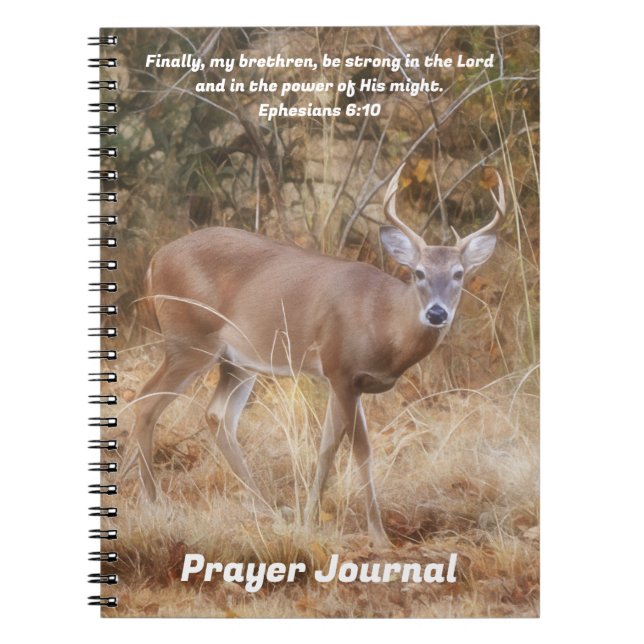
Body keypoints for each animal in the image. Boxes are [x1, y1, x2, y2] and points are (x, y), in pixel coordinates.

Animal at [131, 164, 505, 547]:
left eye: (459, 274)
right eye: (419, 273)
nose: (436, 313)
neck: (383, 320)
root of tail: (155, 260)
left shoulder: (344, 381)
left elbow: (327, 446)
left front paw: (309, 519)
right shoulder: (341, 369)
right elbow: (360, 451)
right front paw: (379, 535)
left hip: (236, 360)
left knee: (217, 415)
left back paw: (266, 509)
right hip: (189, 340)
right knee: (146, 400)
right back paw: (154, 502)